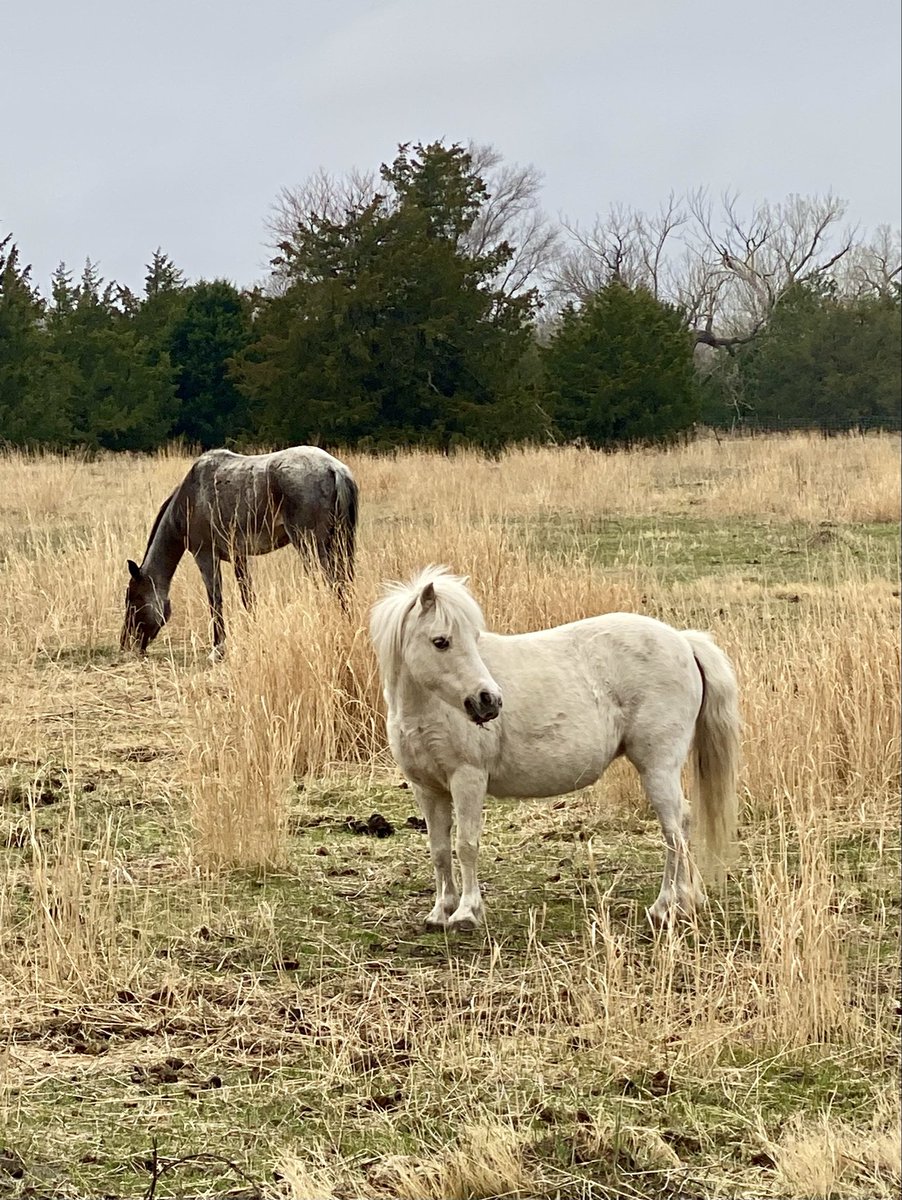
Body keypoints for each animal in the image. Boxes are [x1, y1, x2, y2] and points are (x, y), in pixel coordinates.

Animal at [122, 446, 358, 659]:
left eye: (134, 600)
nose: (126, 644)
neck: (189, 499)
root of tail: (334, 469)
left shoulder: (205, 555)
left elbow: (215, 599)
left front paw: (218, 648)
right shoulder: (239, 557)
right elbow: (248, 598)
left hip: (310, 546)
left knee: (331, 584)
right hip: (338, 544)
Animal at [370, 566, 740, 931]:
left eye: (472, 639)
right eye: (441, 642)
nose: (489, 701)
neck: (427, 710)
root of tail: (683, 641)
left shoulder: (468, 779)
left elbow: (466, 845)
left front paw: (466, 913)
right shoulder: (427, 789)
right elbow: (439, 850)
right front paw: (440, 912)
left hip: (658, 767)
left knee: (674, 830)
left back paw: (664, 907)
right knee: (684, 823)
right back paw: (686, 902)